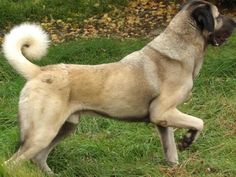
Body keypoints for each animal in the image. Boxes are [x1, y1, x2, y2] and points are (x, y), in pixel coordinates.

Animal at [1, 0, 234, 175]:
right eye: (218, 16)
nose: (234, 21)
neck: (180, 46)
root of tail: (39, 71)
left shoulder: (163, 122)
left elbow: (171, 153)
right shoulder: (162, 112)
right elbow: (199, 122)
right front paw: (188, 139)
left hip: (63, 129)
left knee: (39, 157)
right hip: (42, 133)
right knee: (13, 163)